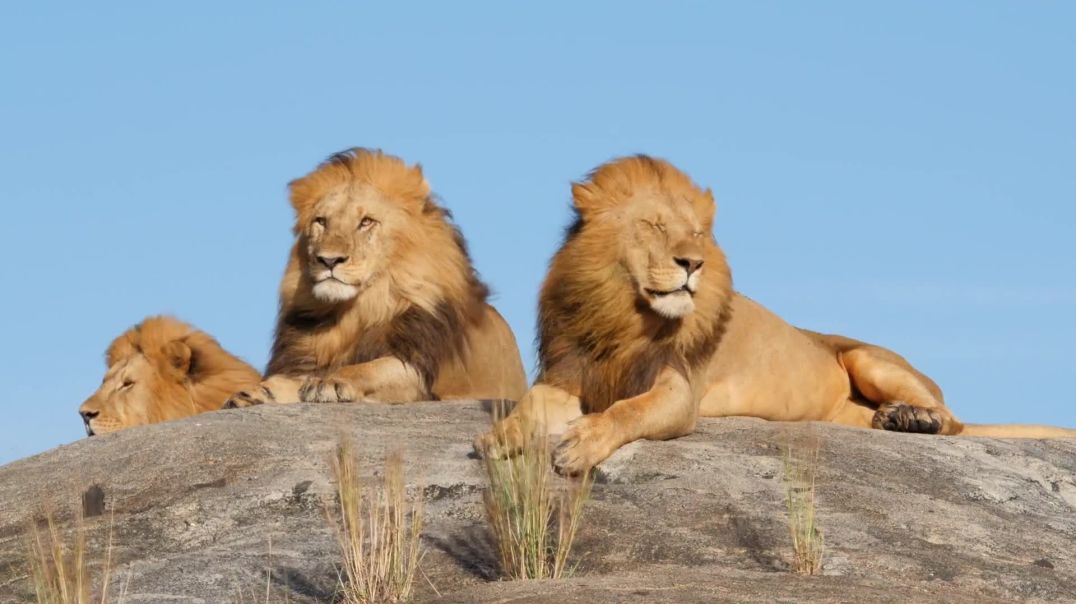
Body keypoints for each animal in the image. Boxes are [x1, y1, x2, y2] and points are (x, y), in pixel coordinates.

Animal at [224, 148, 527, 406]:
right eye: (321, 221)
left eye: (366, 222)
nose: (328, 260)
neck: (355, 312)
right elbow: (287, 380)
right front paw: (254, 392)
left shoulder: (416, 369)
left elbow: (369, 368)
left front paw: (330, 382)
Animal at [479, 152, 1076, 473]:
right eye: (652, 225)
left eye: (697, 233)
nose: (692, 263)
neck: (623, 312)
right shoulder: (567, 373)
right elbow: (530, 406)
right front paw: (500, 437)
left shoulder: (678, 391)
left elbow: (628, 411)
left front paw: (581, 445)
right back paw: (891, 420)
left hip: (870, 359)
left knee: (955, 420)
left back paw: (914, 419)